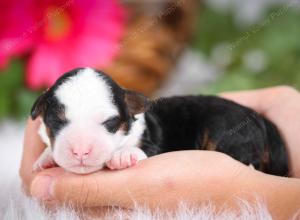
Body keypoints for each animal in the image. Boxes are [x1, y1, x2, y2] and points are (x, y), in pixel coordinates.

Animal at [30, 67, 288, 175]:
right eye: (57, 122)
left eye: (110, 123)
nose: (81, 151)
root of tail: (260, 119)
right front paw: (45, 158)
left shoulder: (156, 141)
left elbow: (145, 149)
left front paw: (124, 155)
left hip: (229, 133)